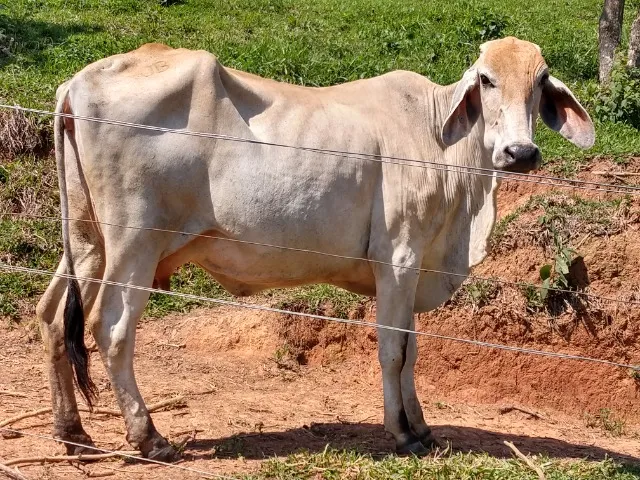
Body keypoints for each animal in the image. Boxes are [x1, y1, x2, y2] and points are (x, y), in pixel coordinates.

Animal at [37, 36, 594, 460]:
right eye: (486, 79)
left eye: (541, 81)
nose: (520, 152)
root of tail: (78, 83)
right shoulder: (399, 259)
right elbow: (394, 350)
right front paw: (401, 433)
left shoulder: (411, 271)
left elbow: (412, 350)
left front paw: (421, 425)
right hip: (134, 242)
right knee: (111, 329)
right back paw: (149, 437)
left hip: (86, 242)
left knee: (52, 316)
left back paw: (72, 431)